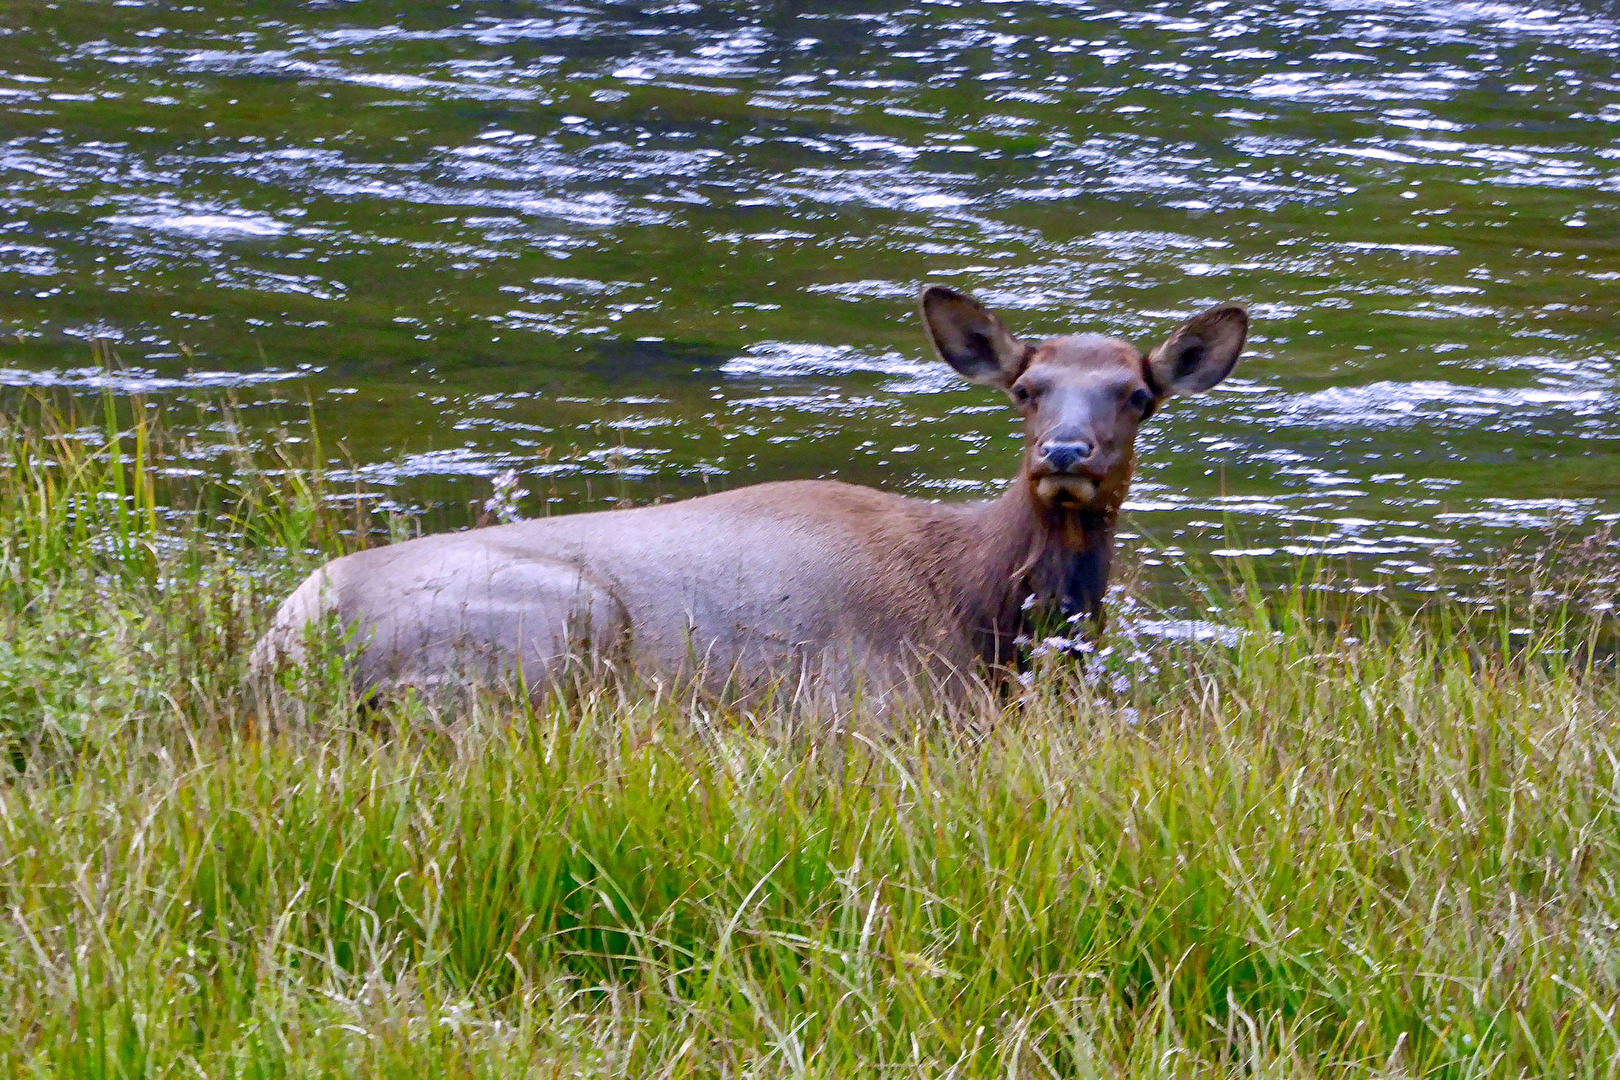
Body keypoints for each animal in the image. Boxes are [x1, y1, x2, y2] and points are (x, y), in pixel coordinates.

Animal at [249, 284, 1237, 702]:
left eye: (1137, 394)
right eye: (1027, 389)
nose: (1066, 453)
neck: (988, 612)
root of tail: (283, 645)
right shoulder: (876, 704)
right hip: (549, 631)